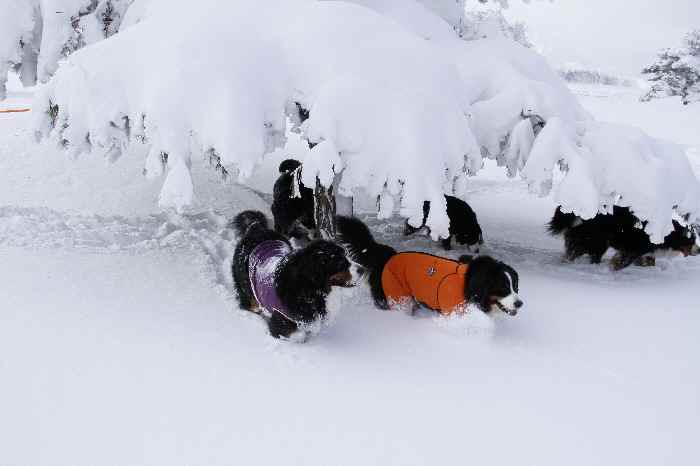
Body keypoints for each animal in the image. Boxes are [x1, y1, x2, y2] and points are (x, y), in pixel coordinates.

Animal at [234, 210, 358, 338]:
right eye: (341, 263)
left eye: (346, 255)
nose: (362, 269)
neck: (307, 288)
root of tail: (256, 228)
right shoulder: (282, 325)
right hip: (248, 291)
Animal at [336, 215, 524, 316]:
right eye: (503, 287)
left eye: (515, 287)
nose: (520, 304)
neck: (470, 285)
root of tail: (387, 255)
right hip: (395, 295)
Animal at [548, 207, 696, 272]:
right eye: (691, 241)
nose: (699, 250)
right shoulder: (632, 249)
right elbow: (623, 261)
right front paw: (613, 268)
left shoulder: (644, 252)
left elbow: (647, 260)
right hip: (596, 242)